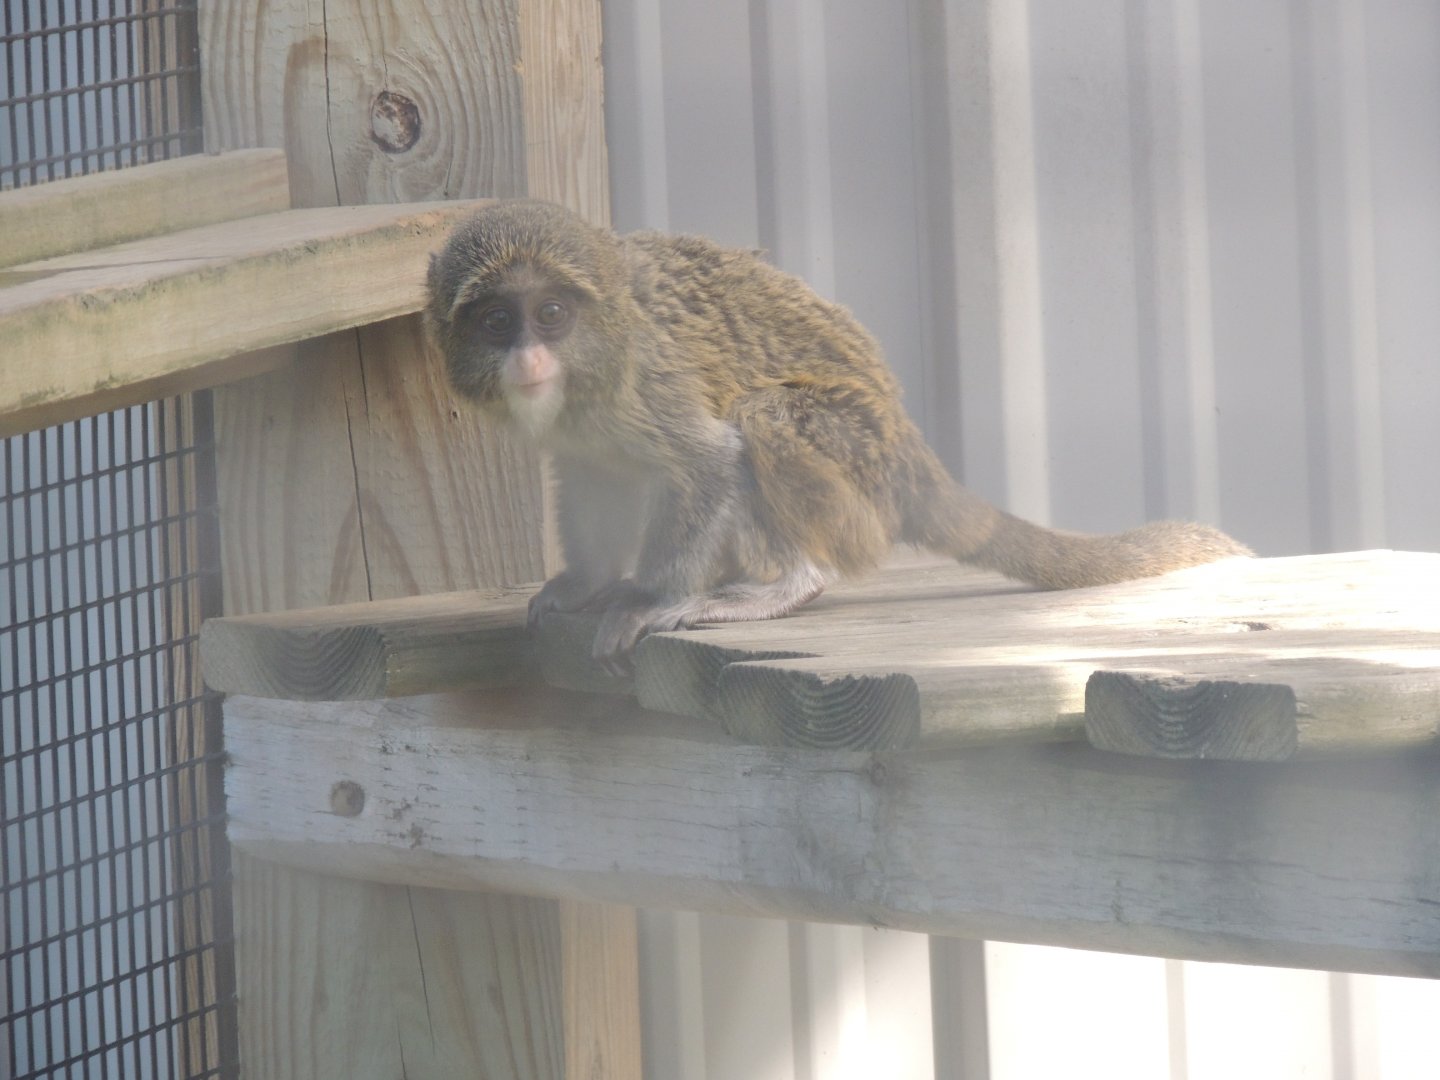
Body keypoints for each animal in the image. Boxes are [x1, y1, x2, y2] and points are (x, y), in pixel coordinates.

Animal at [426, 199, 1250, 671]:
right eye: (497, 321)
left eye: (550, 315)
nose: (529, 357)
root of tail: (913, 459)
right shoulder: (582, 433)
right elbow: (595, 480)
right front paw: (586, 584)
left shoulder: (645, 381)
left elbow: (711, 460)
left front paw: (646, 597)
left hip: (858, 477)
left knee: (761, 418)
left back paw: (792, 580)